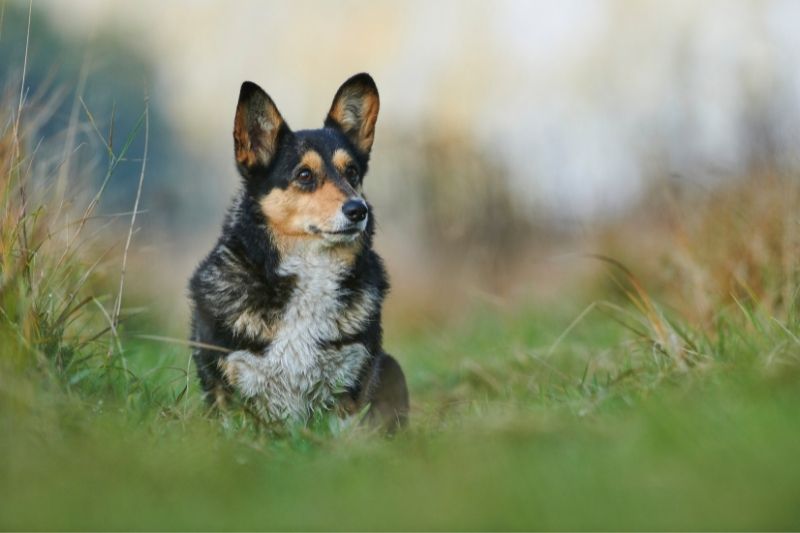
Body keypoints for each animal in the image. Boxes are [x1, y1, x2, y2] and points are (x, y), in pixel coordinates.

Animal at [190, 72, 410, 430]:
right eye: (304, 175)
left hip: (392, 368)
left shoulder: (348, 389)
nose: (358, 210)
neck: (311, 268)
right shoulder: (231, 388)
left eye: (352, 172)